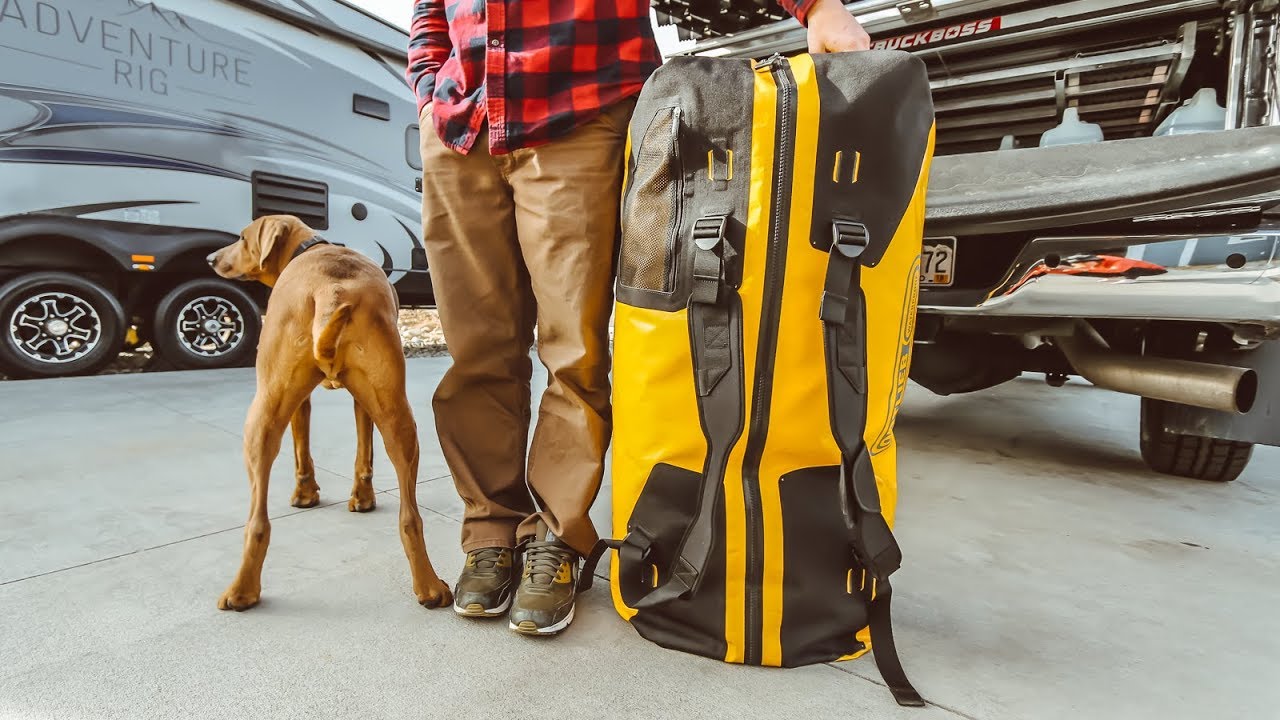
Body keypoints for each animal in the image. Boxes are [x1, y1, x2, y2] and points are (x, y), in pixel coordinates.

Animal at [207, 213, 453, 609]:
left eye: (242, 238)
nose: (211, 259)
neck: (310, 247)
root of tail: (331, 290)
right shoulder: (360, 398)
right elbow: (358, 453)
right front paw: (358, 498)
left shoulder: (308, 402)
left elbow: (306, 450)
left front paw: (308, 494)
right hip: (394, 415)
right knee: (408, 516)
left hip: (266, 409)